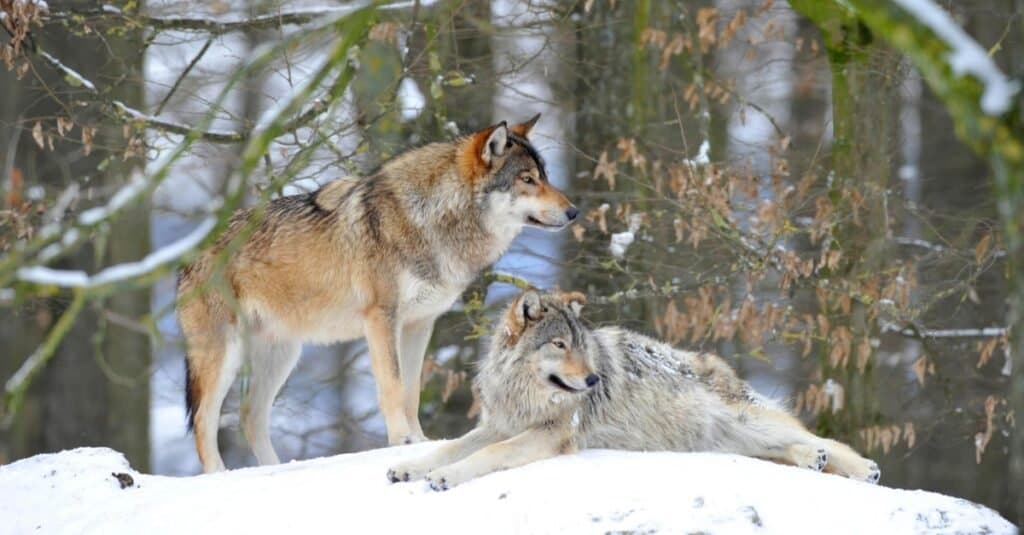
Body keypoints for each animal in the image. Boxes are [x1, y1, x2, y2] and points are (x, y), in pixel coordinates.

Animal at [176, 116, 577, 471]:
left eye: (545, 176)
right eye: (527, 180)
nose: (573, 211)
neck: (431, 220)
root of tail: (188, 251)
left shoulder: (420, 324)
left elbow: (412, 391)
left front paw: (420, 442)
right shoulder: (381, 318)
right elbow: (393, 386)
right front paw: (401, 442)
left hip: (283, 354)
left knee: (249, 415)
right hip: (223, 355)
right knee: (204, 422)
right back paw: (220, 475)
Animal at [385, 286, 880, 487]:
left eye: (581, 346)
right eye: (560, 344)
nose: (592, 379)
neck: (524, 393)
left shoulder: (551, 434)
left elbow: (485, 455)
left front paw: (444, 478)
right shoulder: (499, 425)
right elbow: (450, 447)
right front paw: (410, 467)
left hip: (746, 419)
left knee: (820, 438)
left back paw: (859, 468)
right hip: (723, 441)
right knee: (789, 449)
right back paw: (813, 461)